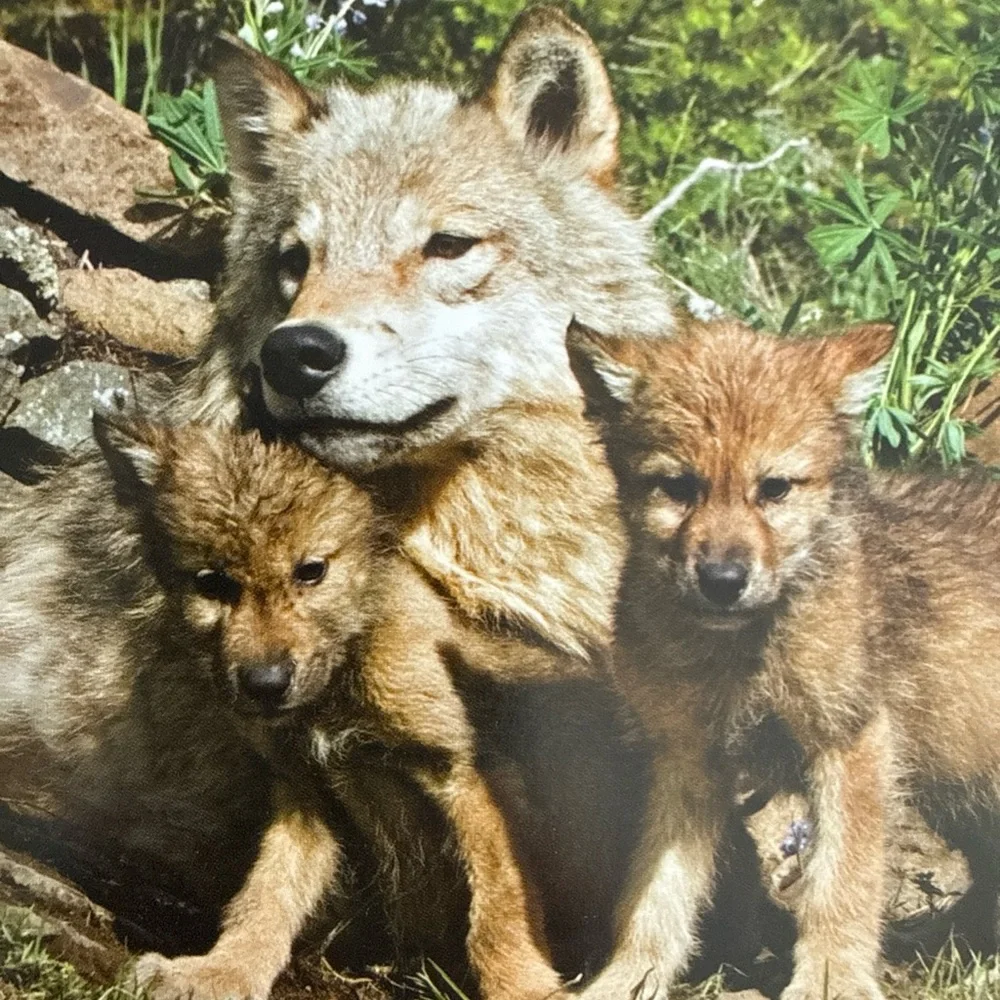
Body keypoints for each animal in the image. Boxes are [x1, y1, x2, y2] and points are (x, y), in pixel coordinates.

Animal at [567, 316, 1000, 1000]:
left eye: (773, 489)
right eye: (678, 488)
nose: (722, 580)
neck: (742, 650)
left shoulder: (849, 742)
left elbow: (841, 884)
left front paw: (829, 979)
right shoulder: (688, 759)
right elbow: (654, 899)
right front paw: (629, 979)